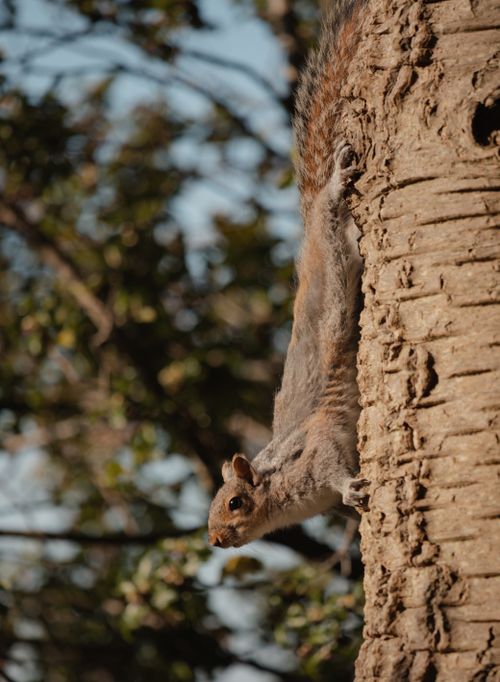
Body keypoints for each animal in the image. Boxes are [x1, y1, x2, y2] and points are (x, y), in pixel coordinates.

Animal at [208, 0, 368, 549]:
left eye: (236, 502)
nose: (215, 540)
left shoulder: (319, 447)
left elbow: (334, 466)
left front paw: (352, 489)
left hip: (334, 248)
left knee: (331, 211)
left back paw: (336, 183)